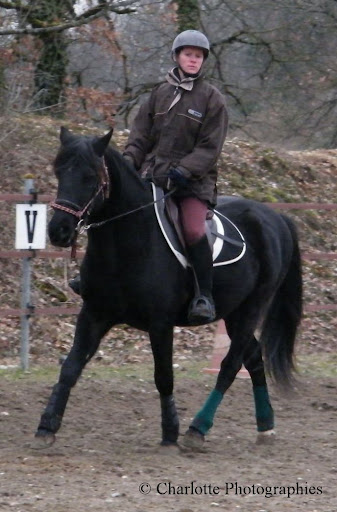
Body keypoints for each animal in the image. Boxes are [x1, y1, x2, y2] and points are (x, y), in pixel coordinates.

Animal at [34, 127, 302, 448]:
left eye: (90, 176)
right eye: (59, 171)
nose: (58, 230)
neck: (126, 243)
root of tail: (275, 217)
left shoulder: (160, 323)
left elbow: (163, 376)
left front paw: (170, 431)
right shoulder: (94, 314)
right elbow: (70, 368)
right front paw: (47, 426)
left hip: (252, 308)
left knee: (230, 365)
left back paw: (198, 428)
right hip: (233, 314)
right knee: (253, 358)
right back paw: (265, 426)